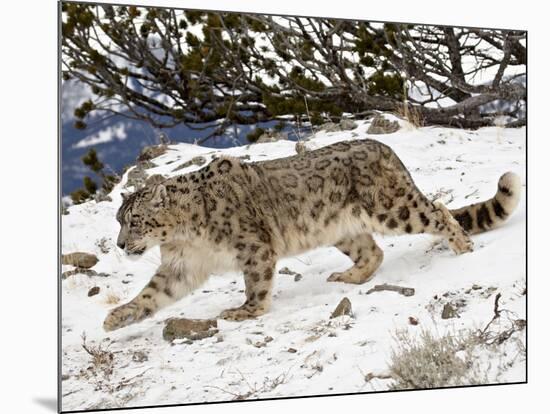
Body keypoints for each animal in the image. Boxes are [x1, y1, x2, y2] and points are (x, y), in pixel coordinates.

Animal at [102, 137, 520, 332]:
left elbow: (256, 283)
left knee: (438, 210)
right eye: (118, 220)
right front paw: (117, 317)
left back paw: (463, 245)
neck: (184, 236)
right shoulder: (182, 265)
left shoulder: (253, 248)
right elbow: (153, 293)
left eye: (135, 220)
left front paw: (244, 311)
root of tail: (385, 147)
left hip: (393, 209)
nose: (121, 244)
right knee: (373, 252)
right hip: (343, 229)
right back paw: (346, 276)